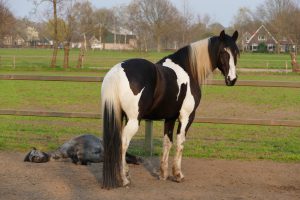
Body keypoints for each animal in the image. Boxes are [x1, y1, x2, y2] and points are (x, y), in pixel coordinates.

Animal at [102, 29, 240, 188]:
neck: (188, 69)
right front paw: (178, 175)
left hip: (120, 116)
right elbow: (180, 142)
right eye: (223, 52)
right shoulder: (186, 117)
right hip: (133, 120)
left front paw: (163, 174)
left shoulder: (170, 118)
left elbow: (167, 143)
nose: (232, 79)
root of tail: (118, 71)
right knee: (123, 143)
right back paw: (124, 179)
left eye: (236, 52)